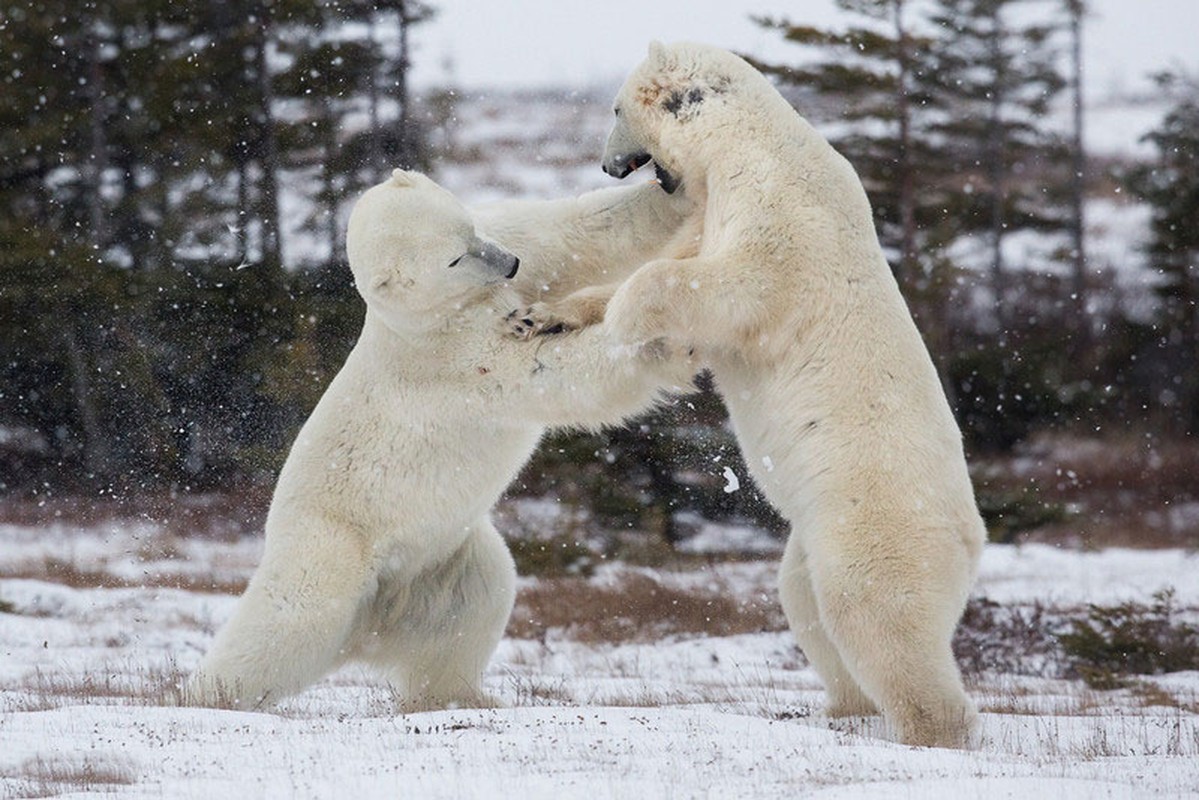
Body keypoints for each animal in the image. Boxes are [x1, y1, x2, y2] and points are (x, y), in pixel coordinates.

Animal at [541, 42, 983, 743]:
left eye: (613, 108)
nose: (606, 165)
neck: (745, 144)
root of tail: (972, 542)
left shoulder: (783, 216)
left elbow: (728, 283)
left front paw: (629, 322)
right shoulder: (714, 205)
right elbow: (683, 254)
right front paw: (551, 313)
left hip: (875, 524)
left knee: (876, 616)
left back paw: (929, 731)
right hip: (814, 538)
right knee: (806, 604)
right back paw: (839, 709)